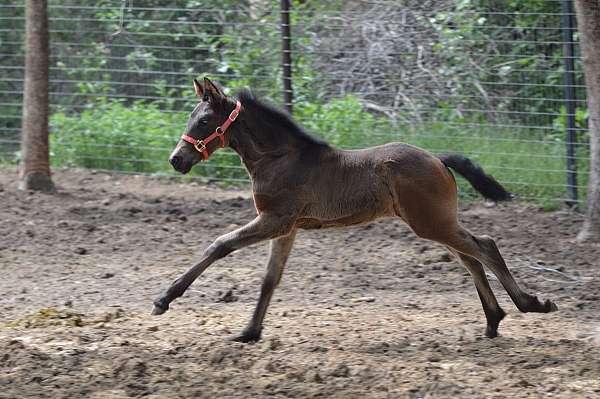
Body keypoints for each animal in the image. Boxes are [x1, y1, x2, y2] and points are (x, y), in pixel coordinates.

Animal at [155, 78, 556, 344]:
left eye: (203, 121)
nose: (176, 160)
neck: (280, 158)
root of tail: (439, 159)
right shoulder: (287, 228)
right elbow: (271, 278)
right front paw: (249, 332)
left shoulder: (275, 220)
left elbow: (219, 245)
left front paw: (163, 300)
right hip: (435, 221)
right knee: (471, 256)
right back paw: (494, 320)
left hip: (430, 222)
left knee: (484, 246)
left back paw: (530, 304)